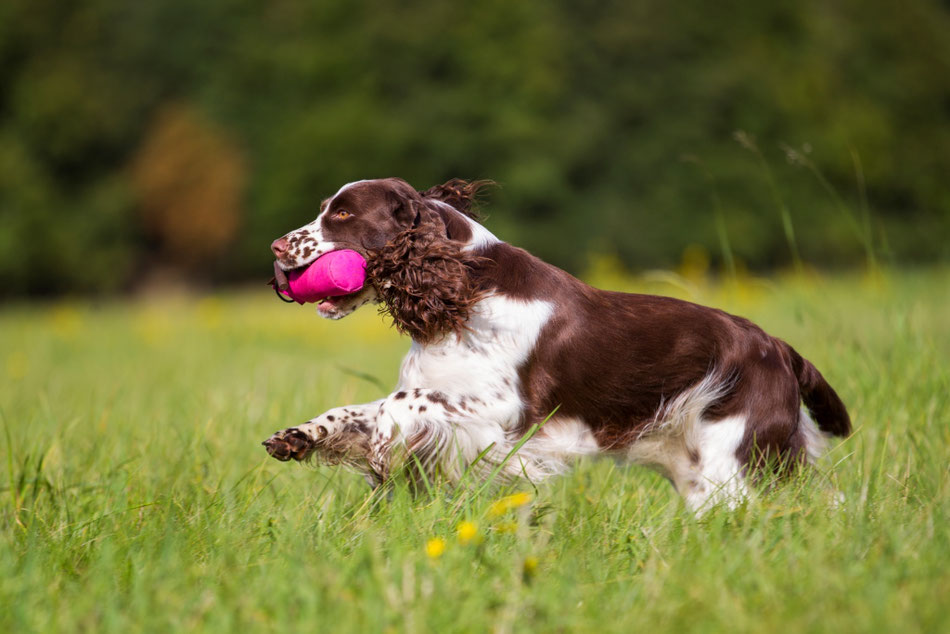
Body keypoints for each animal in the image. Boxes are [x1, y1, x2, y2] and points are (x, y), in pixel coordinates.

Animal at [264, 177, 852, 508]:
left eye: (342, 214)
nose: (276, 246)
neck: (463, 293)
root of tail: (780, 349)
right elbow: (352, 411)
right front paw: (297, 437)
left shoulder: (498, 411)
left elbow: (399, 406)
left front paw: (383, 447)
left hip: (733, 461)